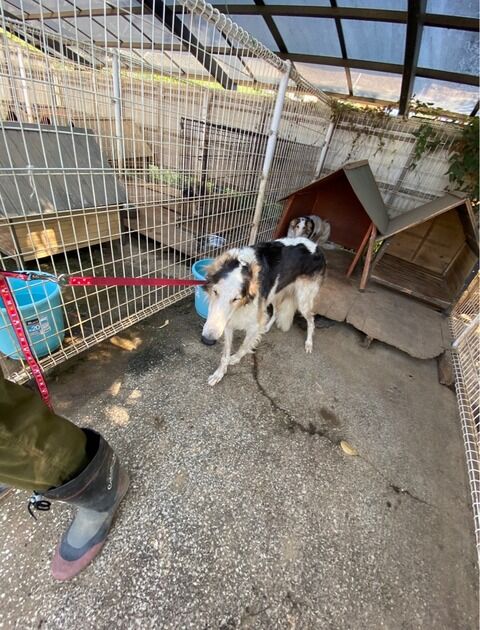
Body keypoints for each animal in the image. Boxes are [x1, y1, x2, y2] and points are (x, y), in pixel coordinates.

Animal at [199, 236, 326, 386]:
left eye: (236, 298)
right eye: (215, 292)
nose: (207, 338)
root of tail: (316, 247)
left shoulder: (253, 324)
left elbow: (244, 345)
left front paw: (235, 359)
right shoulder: (228, 323)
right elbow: (225, 354)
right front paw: (219, 373)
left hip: (303, 300)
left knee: (311, 320)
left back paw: (309, 343)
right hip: (275, 293)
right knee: (276, 311)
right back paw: (266, 327)